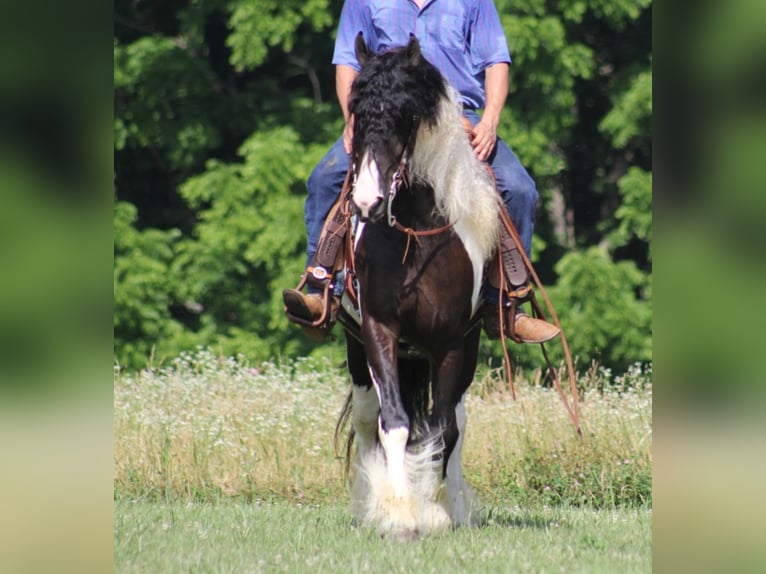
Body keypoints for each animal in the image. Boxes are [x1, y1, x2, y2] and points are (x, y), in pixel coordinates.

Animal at [338, 35, 504, 540]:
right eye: (356, 112)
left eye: (405, 114)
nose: (367, 201)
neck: (416, 231)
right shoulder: (378, 330)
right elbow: (395, 423)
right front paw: (398, 513)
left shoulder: (450, 343)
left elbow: (442, 429)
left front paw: (434, 508)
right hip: (358, 350)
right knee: (368, 418)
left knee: (456, 421)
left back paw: (452, 501)